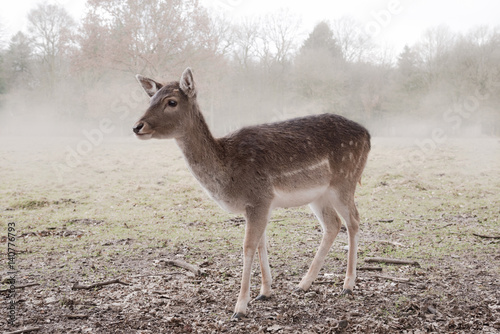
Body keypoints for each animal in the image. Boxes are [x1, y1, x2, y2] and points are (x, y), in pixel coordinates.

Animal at [133, 67, 372, 318]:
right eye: (151, 99)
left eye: (171, 101)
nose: (138, 126)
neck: (228, 173)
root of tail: (368, 135)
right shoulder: (262, 204)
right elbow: (260, 243)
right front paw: (264, 292)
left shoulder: (258, 198)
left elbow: (248, 246)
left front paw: (240, 307)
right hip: (319, 195)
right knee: (333, 224)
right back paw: (303, 284)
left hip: (345, 180)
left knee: (354, 220)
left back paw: (347, 285)